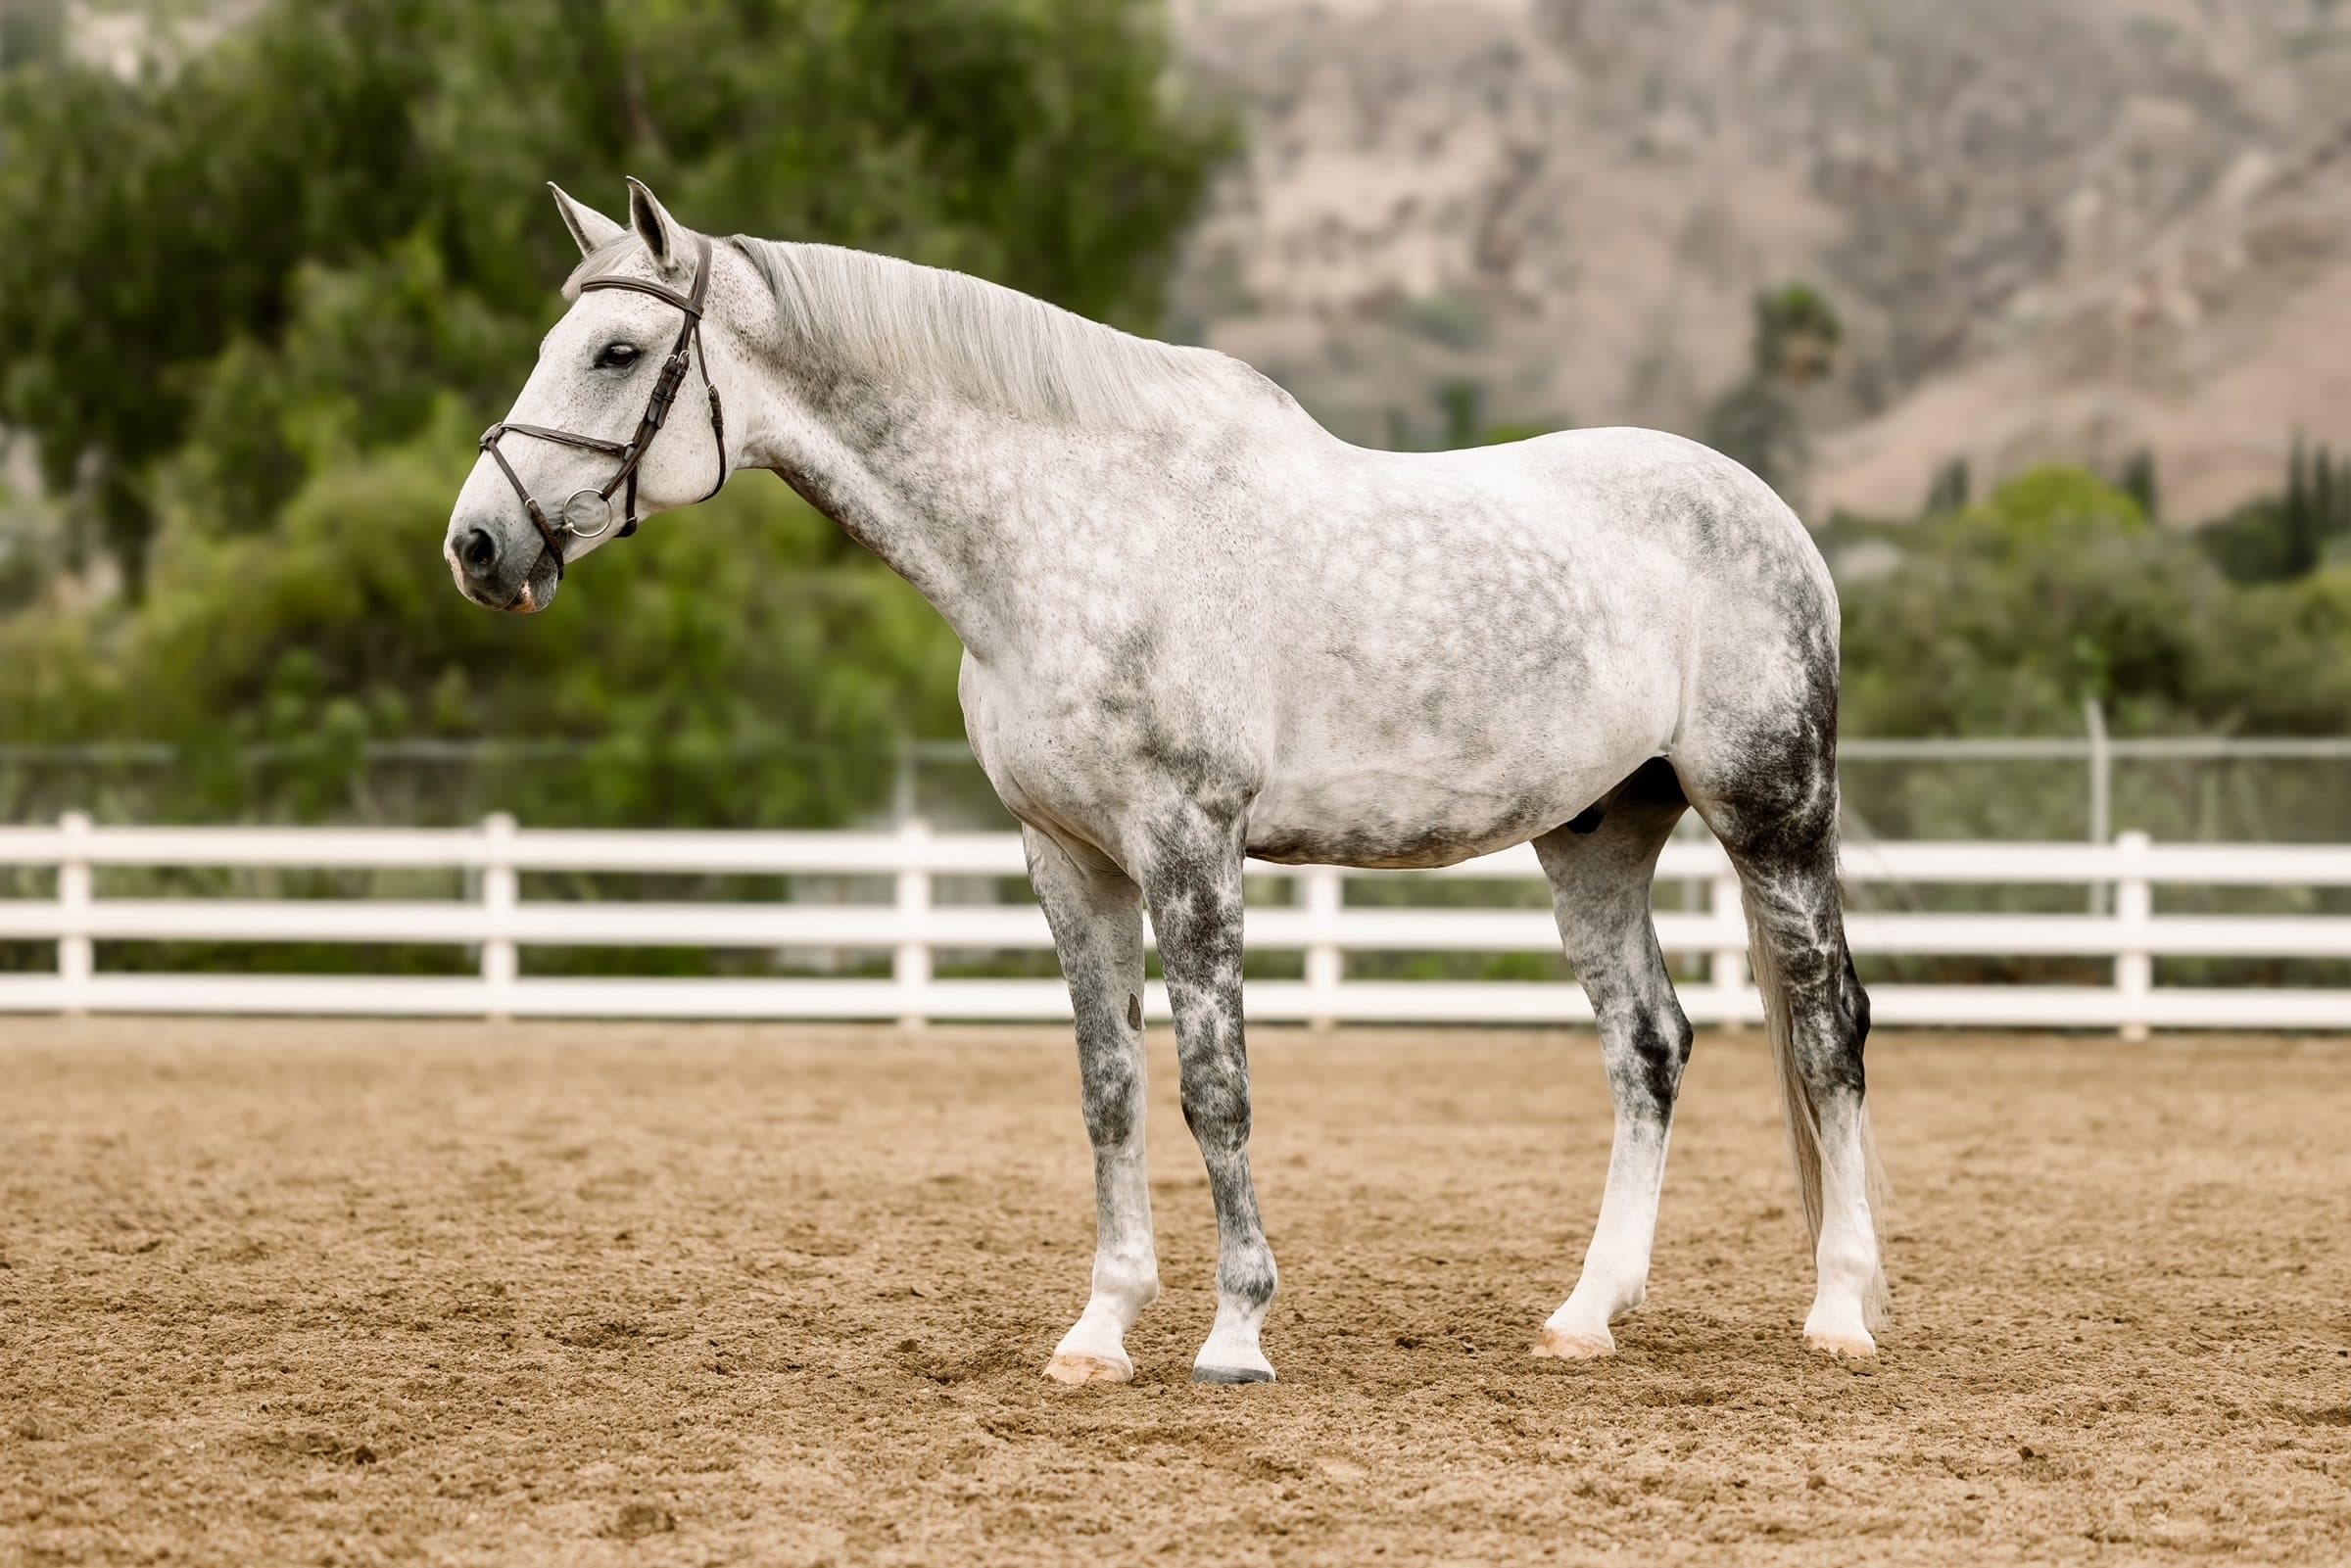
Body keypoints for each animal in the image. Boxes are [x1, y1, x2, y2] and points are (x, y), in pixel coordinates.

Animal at [446, 179, 1889, 1385]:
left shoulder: (1190, 844)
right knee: (1649, 1045)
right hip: (1597, 838)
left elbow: (1213, 1083)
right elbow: (1110, 1090)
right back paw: (1587, 1315)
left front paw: (1236, 1330)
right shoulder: (1068, 859)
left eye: (616, 353)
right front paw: (1101, 1329)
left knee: (1829, 1028)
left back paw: (1840, 1310)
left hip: (1772, 813)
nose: (479, 543)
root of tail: (1772, 515)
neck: (1071, 533)